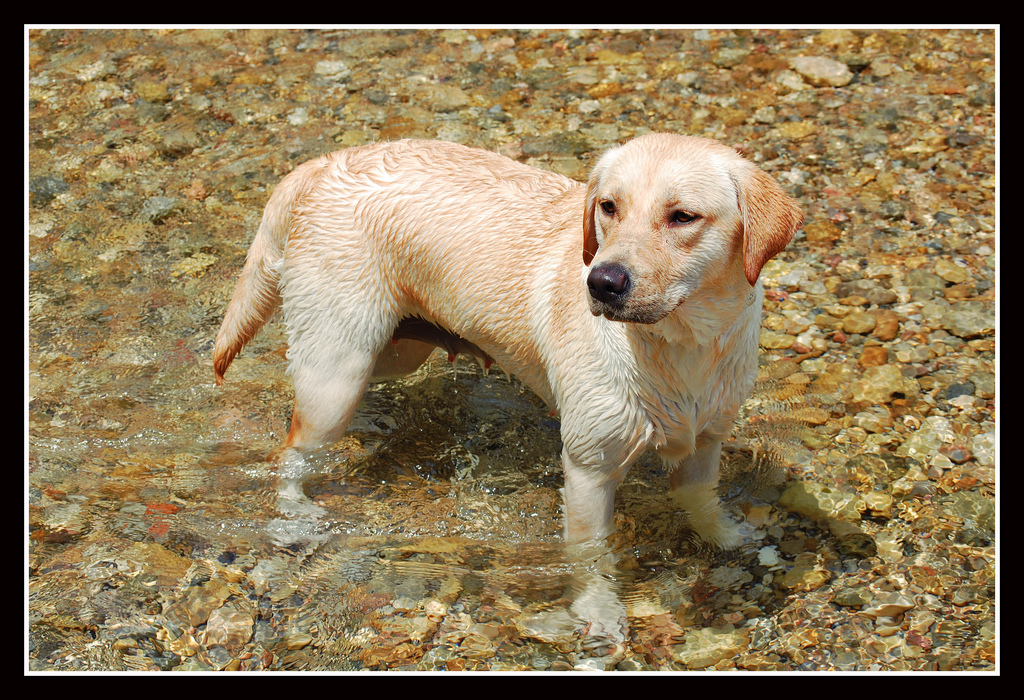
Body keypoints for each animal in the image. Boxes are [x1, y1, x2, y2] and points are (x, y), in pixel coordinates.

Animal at [216, 133, 802, 548]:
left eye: (683, 216)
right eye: (609, 207)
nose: (601, 282)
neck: (679, 347)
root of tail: (329, 161)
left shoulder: (705, 442)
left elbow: (702, 501)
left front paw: (726, 539)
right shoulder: (589, 470)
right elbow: (593, 560)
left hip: (393, 348)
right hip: (337, 373)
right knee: (292, 447)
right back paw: (295, 516)